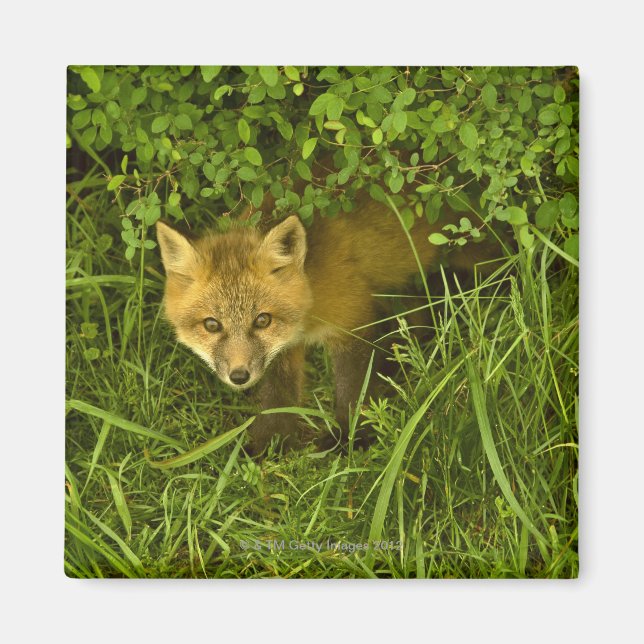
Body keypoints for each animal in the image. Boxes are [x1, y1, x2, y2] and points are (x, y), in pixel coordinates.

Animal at [156, 189, 500, 455]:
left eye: (262, 320)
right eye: (212, 325)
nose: (239, 376)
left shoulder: (353, 319)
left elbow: (352, 391)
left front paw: (350, 440)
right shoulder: (284, 349)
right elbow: (278, 397)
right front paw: (270, 445)